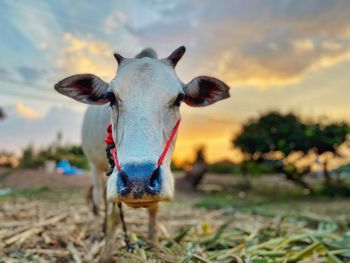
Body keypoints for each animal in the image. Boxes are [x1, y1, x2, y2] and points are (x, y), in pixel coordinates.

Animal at [54, 47, 230, 262]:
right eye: (110, 97)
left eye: (179, 99)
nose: (139, 180)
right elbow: (114, 216)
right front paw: (105, 254)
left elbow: (153, 210)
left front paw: (154, 245)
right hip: (94, 166)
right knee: (97, 200)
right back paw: (97, 233)